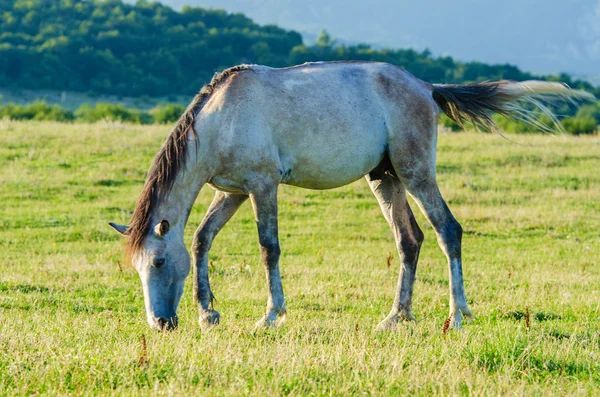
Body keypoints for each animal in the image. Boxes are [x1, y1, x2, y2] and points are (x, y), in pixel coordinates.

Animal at [106, 60, 592, 330]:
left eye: (158, 263)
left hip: (416, 173)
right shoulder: (233, 193)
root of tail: (426, 87)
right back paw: (397, 317)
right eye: (139, 267)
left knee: (447, 231)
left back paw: (457, 315)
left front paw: (271, 315)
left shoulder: (263, 187)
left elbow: (268, 248)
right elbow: (202, 239)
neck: (221, 118)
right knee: (409, 240)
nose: (160, 324)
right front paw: (209, 314)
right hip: (385, 178)